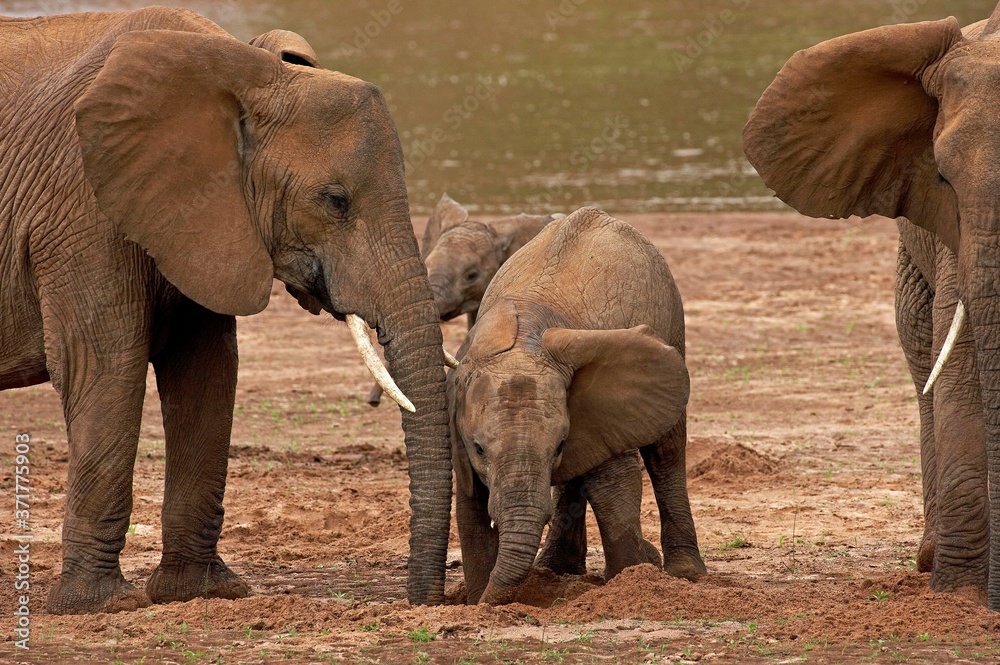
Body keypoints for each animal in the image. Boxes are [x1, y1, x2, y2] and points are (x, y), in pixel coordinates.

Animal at [0, 7, 450, 616]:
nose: (426, 600)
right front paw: (100, 605)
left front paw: (204, 592)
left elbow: (207, 373)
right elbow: (104, 364)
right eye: (335, 200)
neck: (243, 69)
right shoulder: (80, 210)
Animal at [450, 206, 708, 600]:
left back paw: (686, 572)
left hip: (672, 323)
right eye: (479, 449)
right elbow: (469, 505)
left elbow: (614, 483)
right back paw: (556, 568)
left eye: (557, 446)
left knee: (666, 453)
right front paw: (479, 598)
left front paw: (630, 580)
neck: (522, 343)